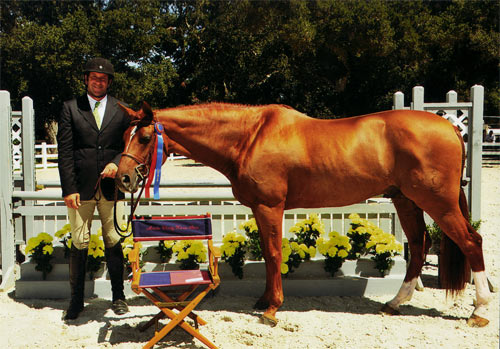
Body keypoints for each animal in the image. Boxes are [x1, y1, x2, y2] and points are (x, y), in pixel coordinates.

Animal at [116, 100, 492, 326]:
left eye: (145, 137)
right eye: (125, 135)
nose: (122, 178)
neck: (249, 137)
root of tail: (451, 127)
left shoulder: (270, 206)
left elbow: (272, 252)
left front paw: (271, 309)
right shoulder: (260, 207)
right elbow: (269, 255)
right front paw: (264, 300)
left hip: (438, 202)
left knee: (471, 242)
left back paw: (479, 310)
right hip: (406, 199)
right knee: (418, 244)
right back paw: (394, 303)